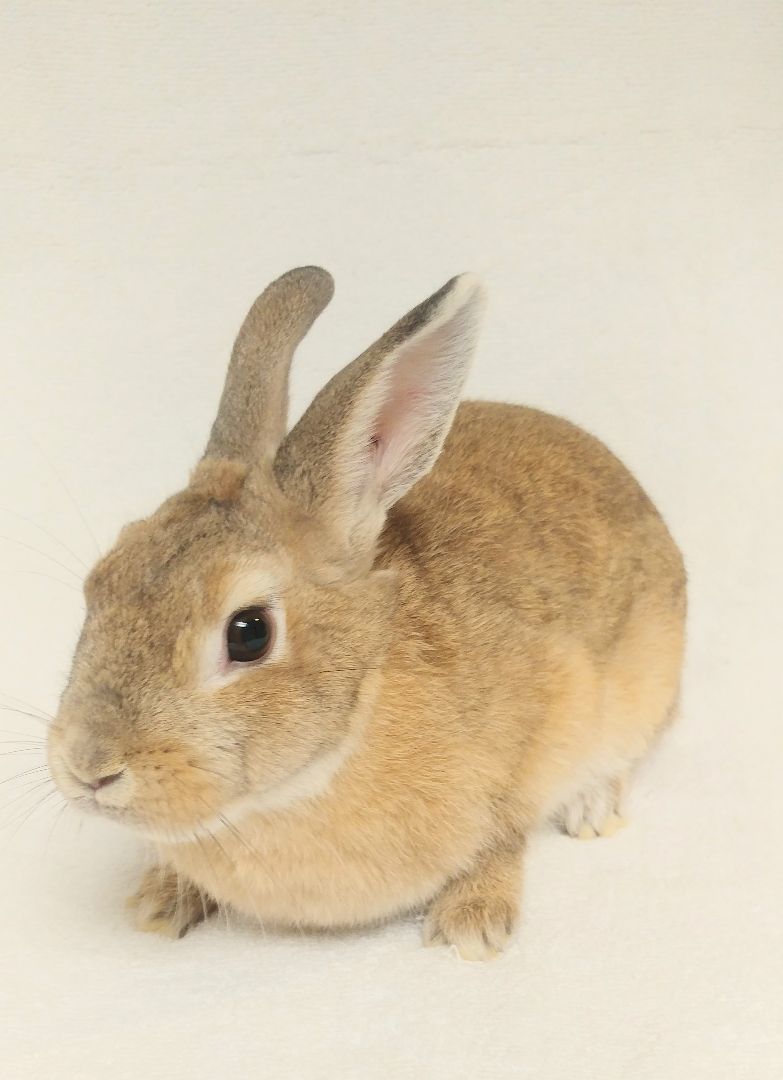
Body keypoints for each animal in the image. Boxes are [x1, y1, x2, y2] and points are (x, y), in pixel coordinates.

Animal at [47, 267, 686, 960]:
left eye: (249, 633)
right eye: (100, 581)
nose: (88, 769)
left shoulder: (535, 739)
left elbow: (503, 837)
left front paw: (469, 928)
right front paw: (160, 902)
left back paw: (591, 811)